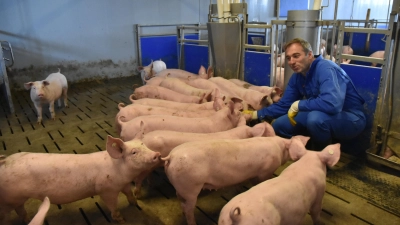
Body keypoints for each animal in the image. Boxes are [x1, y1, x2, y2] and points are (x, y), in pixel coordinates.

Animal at [0, 135, 161, 223]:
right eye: (134, 152)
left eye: (145, 146)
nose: (157, 154)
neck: (120, 170)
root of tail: (5, 161)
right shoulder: (106, 190)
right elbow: (112, 206)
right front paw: (122, 219)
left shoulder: (124, 183)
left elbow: (129, 193)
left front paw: (135, 203)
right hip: (9, 200)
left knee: (20, 210)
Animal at [162, 135, 310, 225]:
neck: (280, 149)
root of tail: (171, 156)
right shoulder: (265, 172)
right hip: (191, 187)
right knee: (188, 208)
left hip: (182, 188)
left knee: (181, 203)